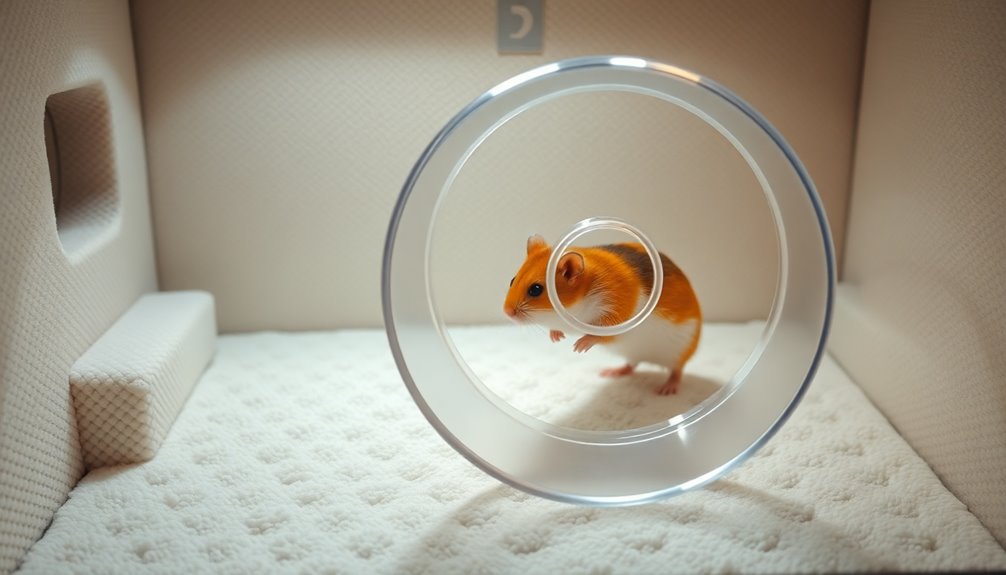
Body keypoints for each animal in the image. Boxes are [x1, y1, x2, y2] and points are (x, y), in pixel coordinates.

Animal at [503, 234, 701, 395]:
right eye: (512, 280)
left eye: (536, 289)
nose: (506, 312)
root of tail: (651, 360)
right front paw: (556, 337)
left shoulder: (617, 314)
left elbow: (597, 335)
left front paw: (579, 347)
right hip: (633, 354)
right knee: (631, 365)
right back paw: (611, 372)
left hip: (679, 352)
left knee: (677, 371)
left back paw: (666, 390)